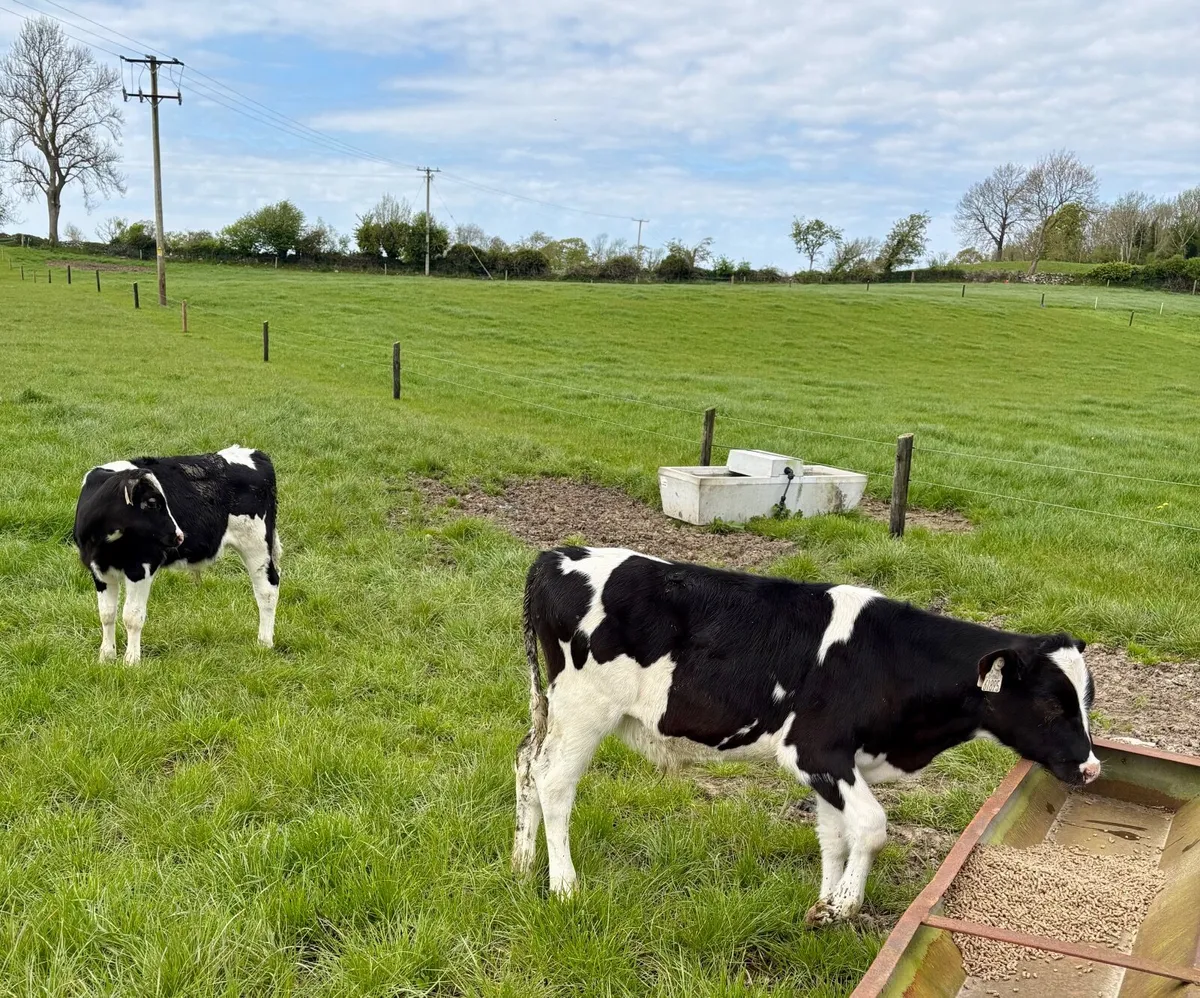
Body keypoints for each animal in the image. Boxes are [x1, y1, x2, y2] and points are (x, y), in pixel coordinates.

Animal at [73, 445, 281, 664]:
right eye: (152, 502)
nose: (179, 535)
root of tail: (254, 453)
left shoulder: (141, 567)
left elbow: (132, 616)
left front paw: (131, 660)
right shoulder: (98, 570)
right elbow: (106, 613)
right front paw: (106, 656)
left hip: (256, 544)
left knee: (267, 589)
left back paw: (264, 642)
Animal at [512, 546, 1098, 925]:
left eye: (1088, 699)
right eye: (1051, 703)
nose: (1091, 766)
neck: (889, 660)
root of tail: (556, 555)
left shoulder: (837, 765)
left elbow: (836, 835)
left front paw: (822, 902)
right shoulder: (814, 751)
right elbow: (873, 826)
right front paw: (842, 906)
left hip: (550, 709)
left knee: (525, 763)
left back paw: (521, 863)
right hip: (583, 709)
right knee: (554, 782)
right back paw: (563, 886)